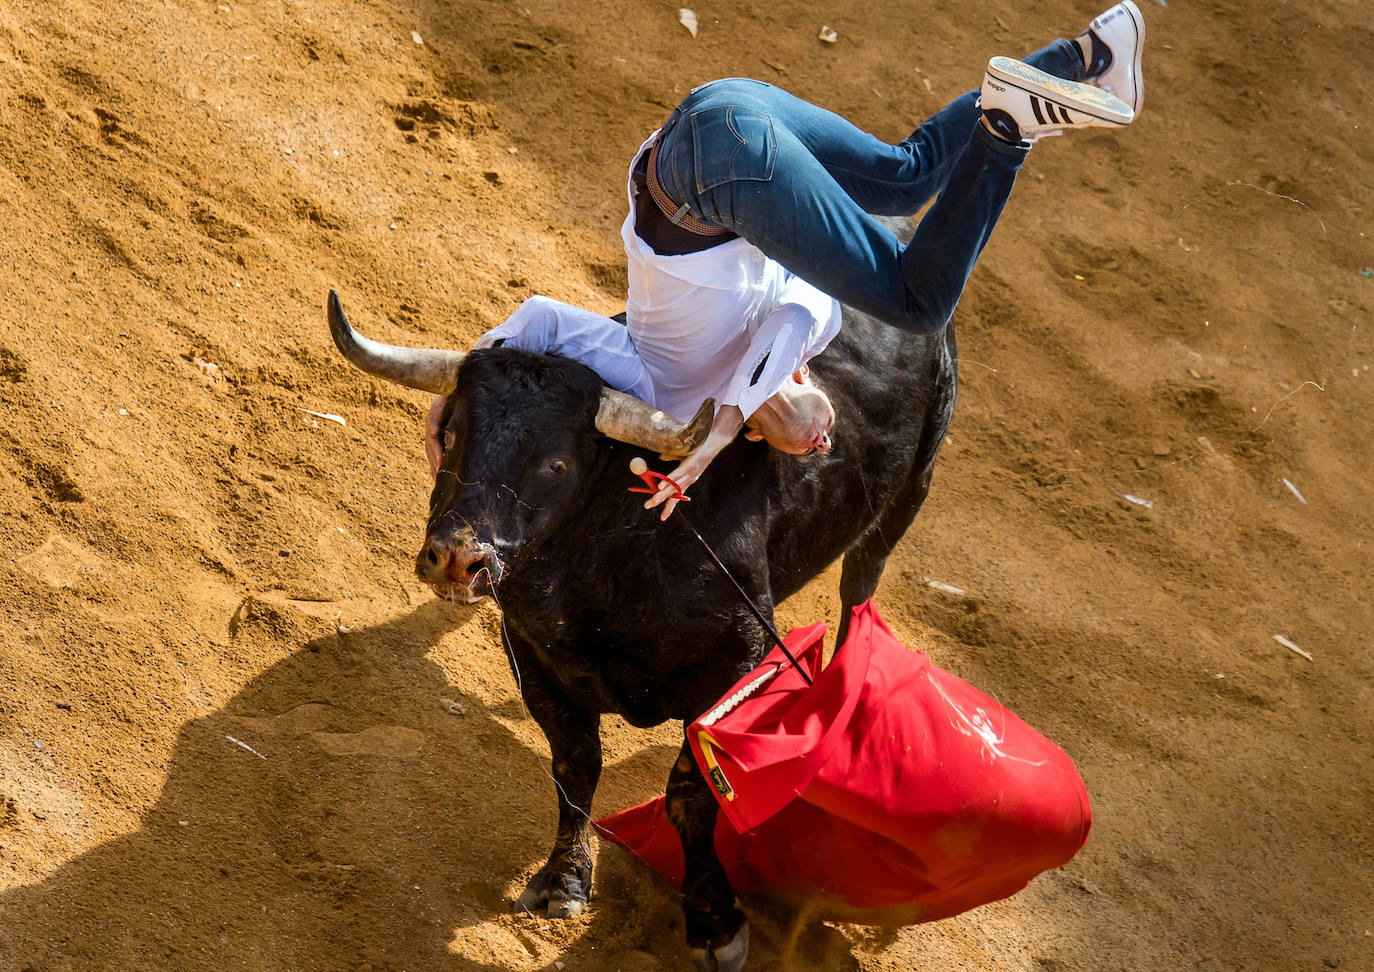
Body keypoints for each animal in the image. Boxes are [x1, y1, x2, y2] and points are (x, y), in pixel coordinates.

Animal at [329, 281, 956, 967]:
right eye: (453, 430)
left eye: (555, 464)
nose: (456, 558)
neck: (611, 552)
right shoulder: (532, 651)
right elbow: (575, 765)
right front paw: (563, 882)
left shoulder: (741, 667)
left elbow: (692, 795)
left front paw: (715, 924)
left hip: (909, 497)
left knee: (860, 590)